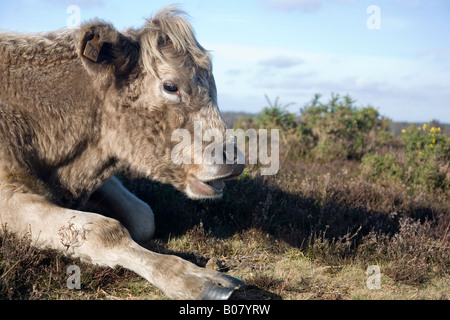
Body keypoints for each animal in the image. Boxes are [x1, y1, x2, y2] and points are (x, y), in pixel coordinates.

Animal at [0, 6, 244, 298]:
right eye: (170, 86)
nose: (234, 160)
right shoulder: (8, 195)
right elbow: (105, 231)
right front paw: (194, 278)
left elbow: (143, 216)